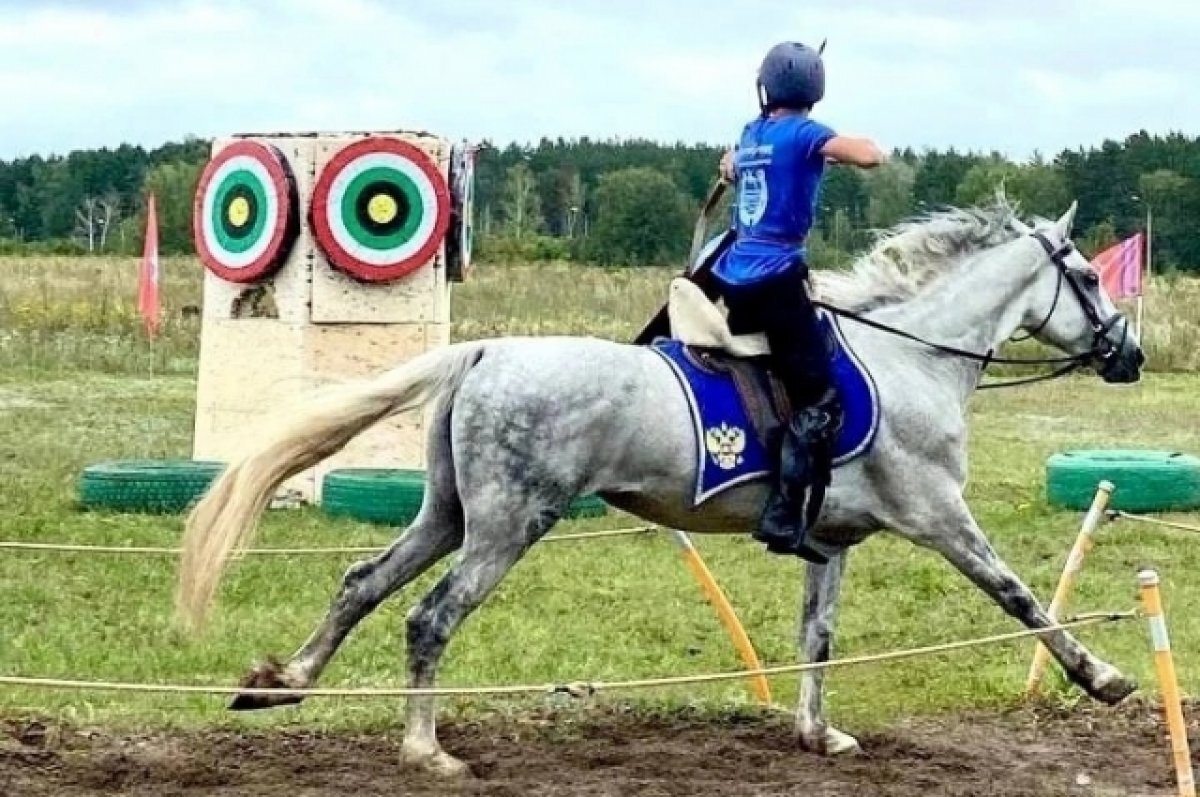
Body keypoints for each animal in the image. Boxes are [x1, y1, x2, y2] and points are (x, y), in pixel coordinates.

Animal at [175, 195, 1142, 772]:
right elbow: (1019, 595)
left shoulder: (830, 540)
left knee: (362, 582)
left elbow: (818, 636)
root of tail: (483, 350)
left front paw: (817, 732)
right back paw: (425, 749)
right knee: (430, 615)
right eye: (1090, 277)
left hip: (451, 515)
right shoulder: (939, 515)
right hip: (510, 523)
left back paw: (282, 681)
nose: (1129, 355)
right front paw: (1104, 676)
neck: (911, 356)